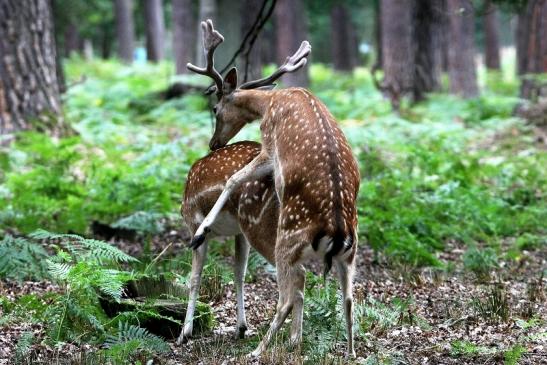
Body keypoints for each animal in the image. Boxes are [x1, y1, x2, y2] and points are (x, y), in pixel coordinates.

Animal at [179, 140, 278, 344]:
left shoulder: (194, 227)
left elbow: (194, 278)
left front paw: (185, 333)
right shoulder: (239, 233)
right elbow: (239, 272)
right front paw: (241, 328)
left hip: (256, 223)